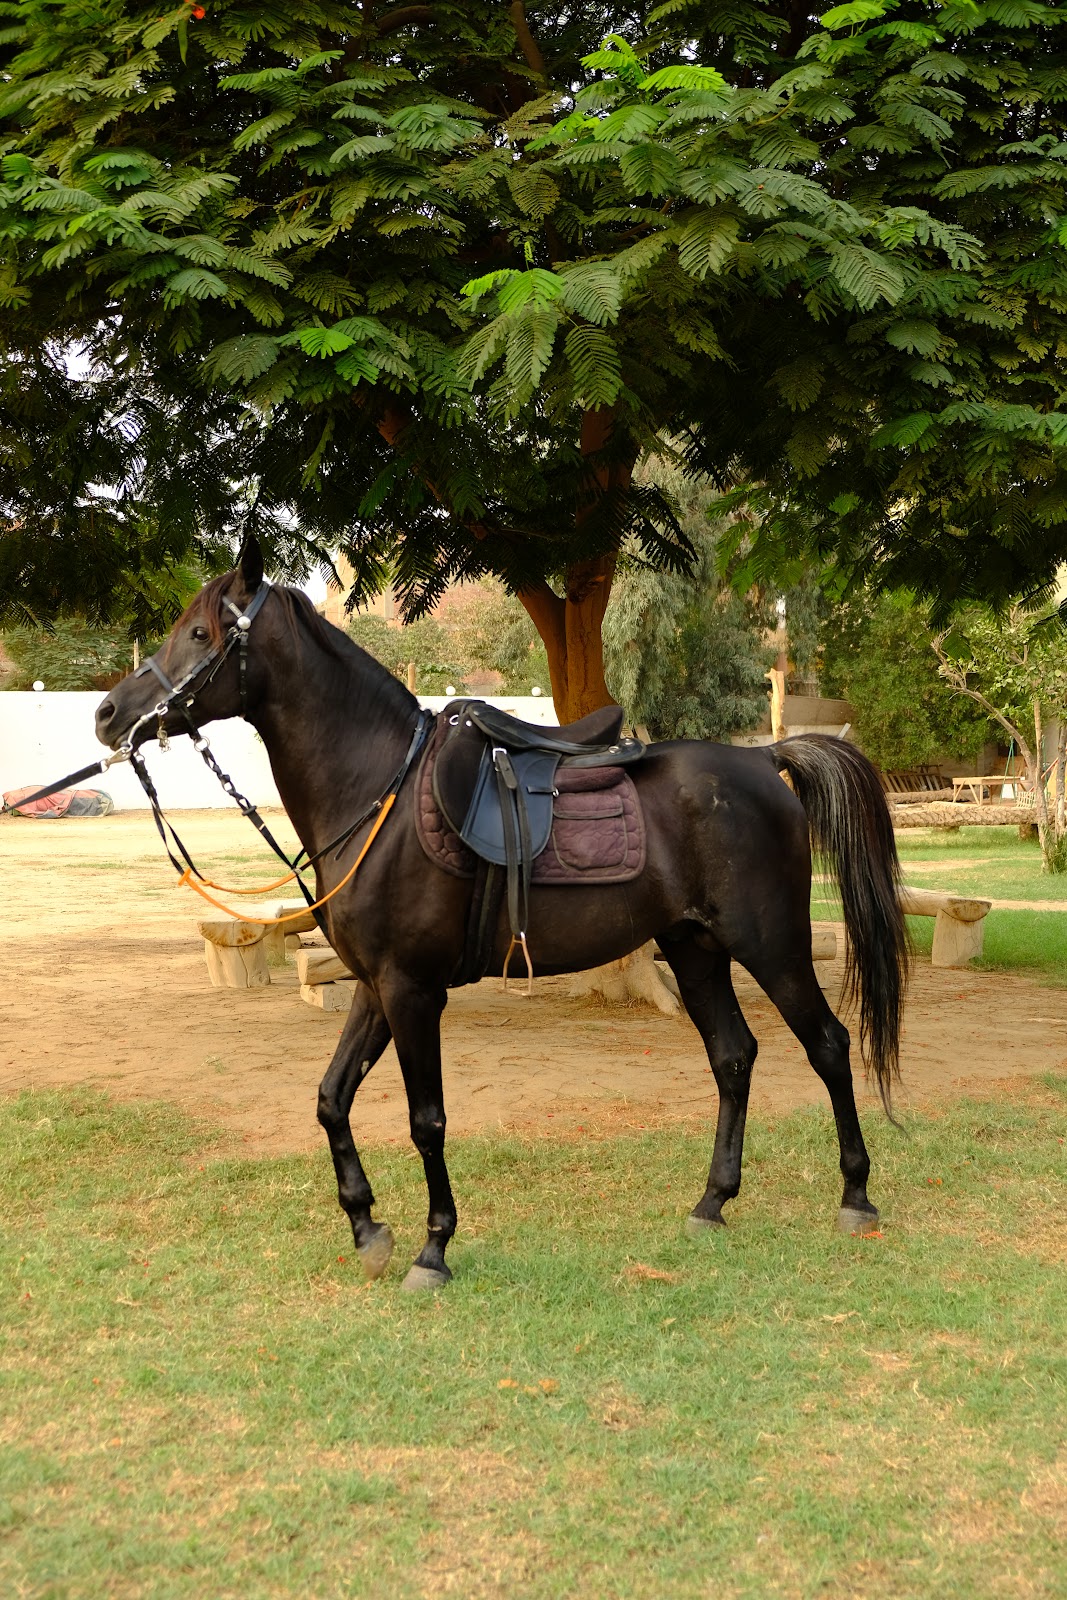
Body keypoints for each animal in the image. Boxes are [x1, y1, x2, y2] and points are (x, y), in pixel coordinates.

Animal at [95, 541, 908, 1290]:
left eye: (201, 632)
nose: (108, 714)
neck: (379, 791)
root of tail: (766, 759)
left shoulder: (412, 991)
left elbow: (426, 1121)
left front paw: (432, 1249)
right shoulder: (374, 988)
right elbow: (331, 1098)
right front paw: (366, 1227)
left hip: (770, 945)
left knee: (829, 1045)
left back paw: (857, 1195)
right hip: (694, 946)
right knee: (733, 1057)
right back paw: (712, 1202)